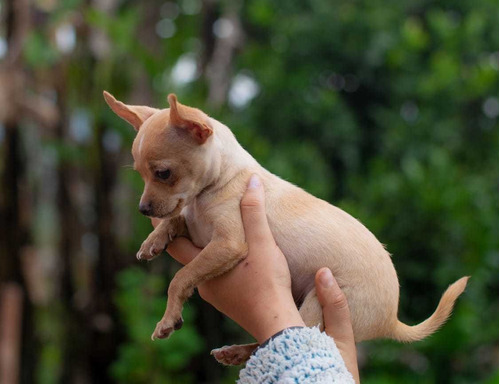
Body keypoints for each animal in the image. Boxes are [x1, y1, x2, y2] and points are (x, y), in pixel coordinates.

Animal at [104, 91, 468, 364]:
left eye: (163, 174)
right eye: (140, 174)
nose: (142, 209)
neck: (216, 185)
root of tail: (391, 319)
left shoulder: (228, 244)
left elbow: (181, 277)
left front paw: (168, 318)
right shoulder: (194, 228)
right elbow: (175, 220)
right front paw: (154, 239)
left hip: (317, 306)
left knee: (294, 332)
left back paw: (240, 351)